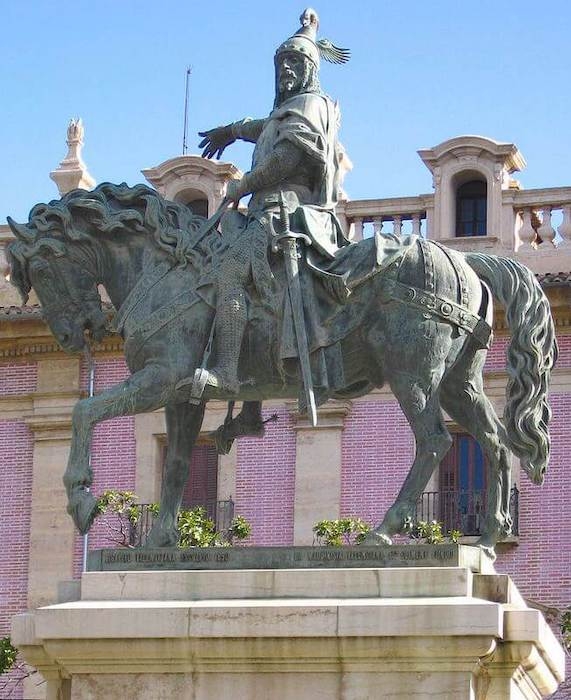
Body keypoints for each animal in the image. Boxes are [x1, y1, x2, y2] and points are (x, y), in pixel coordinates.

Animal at [6, 183, 556, 556]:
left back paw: (383, 532)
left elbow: (83, 410)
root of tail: (466, 261)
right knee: (494, 441)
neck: (167, 272)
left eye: (43, 270)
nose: (71, 335)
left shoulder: (160, 378)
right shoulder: (183, 395)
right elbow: (179, 463)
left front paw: (80, 499)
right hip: (458, 382)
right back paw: (487, 539)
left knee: (436, 442)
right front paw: (160, 542)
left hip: (413, 375)